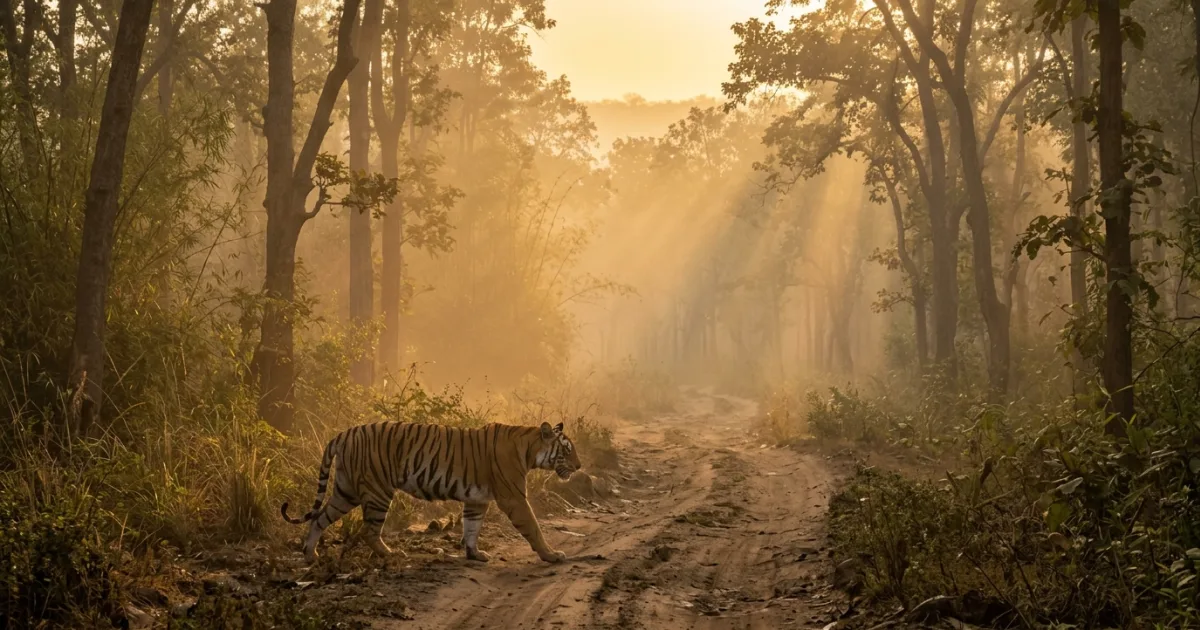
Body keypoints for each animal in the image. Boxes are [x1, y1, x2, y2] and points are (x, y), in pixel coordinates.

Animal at [281, 420, 583, 564]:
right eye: (567, 450)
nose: (580, 466)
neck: (530, 448)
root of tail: (343, 434)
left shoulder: (477, 500)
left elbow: (471, 528)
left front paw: (474, 554)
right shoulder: (514, 498)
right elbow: (534, 528)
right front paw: (552, 555)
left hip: (346, 490)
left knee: (319, 518)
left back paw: (310, 554)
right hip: (377, 491)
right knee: (369, 530)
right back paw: (390, 554)